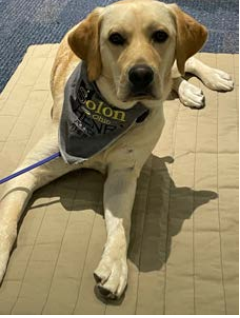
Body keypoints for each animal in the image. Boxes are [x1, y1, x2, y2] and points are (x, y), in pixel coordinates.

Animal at [0, 0, 232, 300]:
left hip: (172, 67)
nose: (142, 75)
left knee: (184, 63)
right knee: (176, 75)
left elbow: (123, 224)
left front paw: (115, 265)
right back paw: (189, 90)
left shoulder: (123, 175)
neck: (112, 114)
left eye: (160, 35)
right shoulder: (27, 172)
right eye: (115, 38)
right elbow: (7, 223)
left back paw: (212, 79)